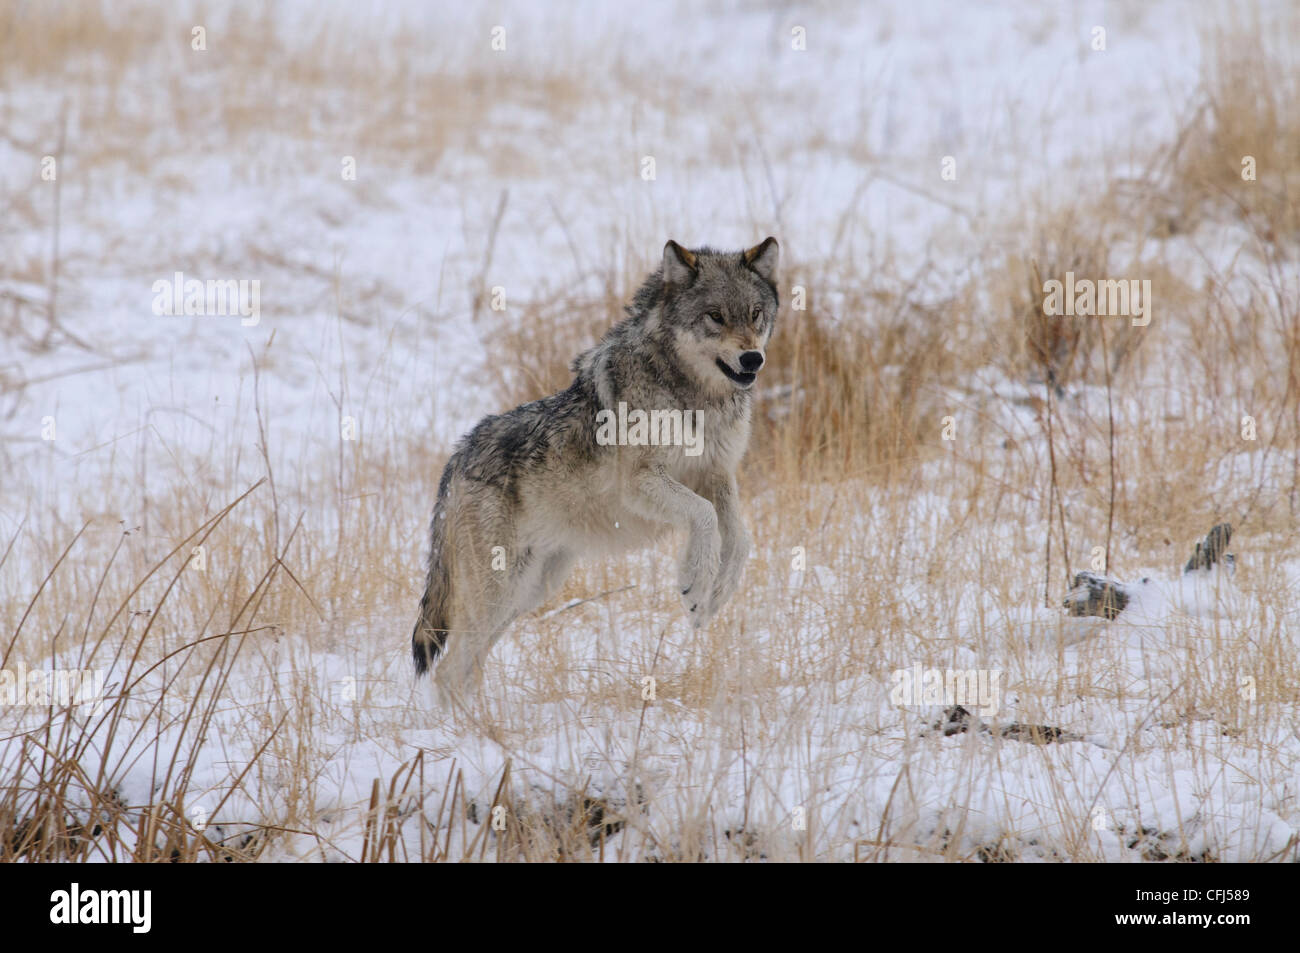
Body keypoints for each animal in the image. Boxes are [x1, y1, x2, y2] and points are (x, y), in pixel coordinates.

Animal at [412, 237, 780, 706]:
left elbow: (739, 538)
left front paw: (713, 598)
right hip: (498, 593)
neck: (698, 401)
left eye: (755, 313)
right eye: (715, 316)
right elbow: (704, 517)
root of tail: (457, 456)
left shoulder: (718, 475)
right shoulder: (642, 483)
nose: (752, 359)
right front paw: (695, 586)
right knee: (447, 672)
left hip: (528, 592)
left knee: (465, 670)